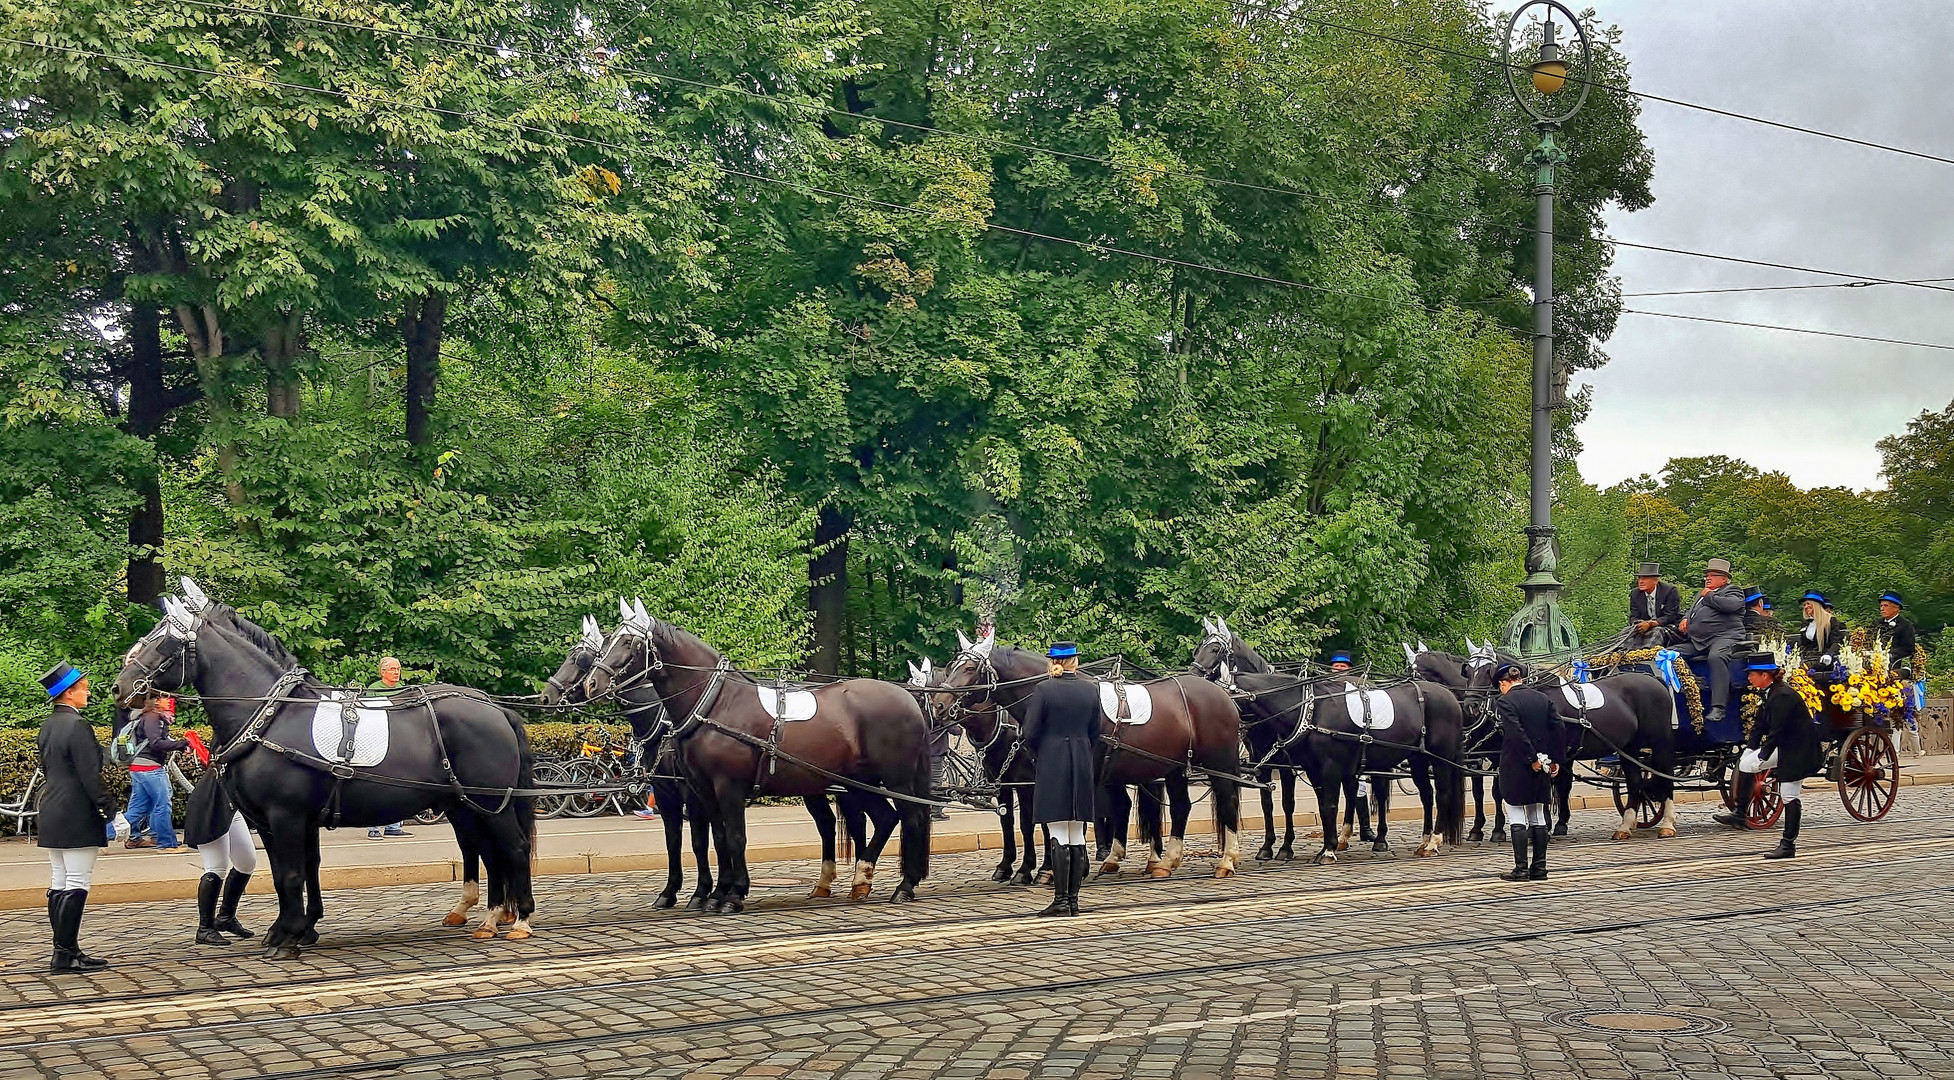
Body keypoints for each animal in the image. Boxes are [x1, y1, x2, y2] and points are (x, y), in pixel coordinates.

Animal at [117, 585, 539, 956]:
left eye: (163, 640)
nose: (120, 687)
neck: (271, 715)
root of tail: (494, 707)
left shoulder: (286, 815)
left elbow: (291, 874)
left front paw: (288, 936)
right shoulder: (277, 821)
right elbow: (296, 870)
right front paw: (297, 928)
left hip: (490, 802)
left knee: (513, 848)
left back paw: (518, 920)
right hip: (467, 804)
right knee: (487, 851)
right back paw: (491, 917)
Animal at [578, 605, 930, 910]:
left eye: (628, 642)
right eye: (606, 642)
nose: (592, 683)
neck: (717, 705)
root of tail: (907, 698)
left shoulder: (727, 787)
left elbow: (734, 837)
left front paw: (733, 894)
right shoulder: (702, 790)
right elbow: (716, 838)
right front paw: (716, 893)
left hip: (895, 779)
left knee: (910, 818)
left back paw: (905, 885)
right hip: (858, 782)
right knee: (884, 819)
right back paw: (861, 880)